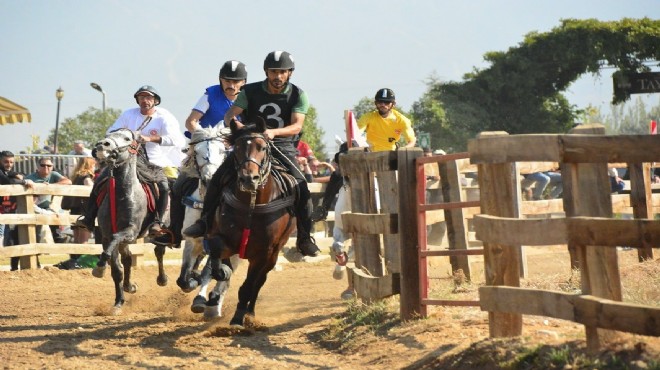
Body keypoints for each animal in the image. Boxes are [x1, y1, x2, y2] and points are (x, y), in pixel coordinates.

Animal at [90, 129, 168, 310]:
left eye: (126, 138)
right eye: (109, 135)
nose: (102, 145)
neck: (121, 195)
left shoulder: (130, 231)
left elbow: (116, 241)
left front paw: (100, 267)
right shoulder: (106, 235)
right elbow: (117, 270)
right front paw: (119, 301)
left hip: (160, 230)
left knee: (159, 252)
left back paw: (162, 279)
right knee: (127, 258)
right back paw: (129, 286)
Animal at [177, 125, 241, 320]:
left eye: (222, 151)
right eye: (197, 152)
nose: (210, 178)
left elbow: (211, 273)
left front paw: (202, 299)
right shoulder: (192, 242)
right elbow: (184, 277)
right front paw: (191, 281)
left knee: (223, 280)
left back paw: (212, 304)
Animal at [206, 118, 296, 326]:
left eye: (262, 147)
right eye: (237, 148)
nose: (249, 178)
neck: (251, 206)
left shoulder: (263, 253)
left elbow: (249, 286)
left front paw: (238, 317)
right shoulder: (222, 238)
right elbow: (217, 251)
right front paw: (222, 272)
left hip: (274, 254)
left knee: (259, 282)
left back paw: (250, 313)